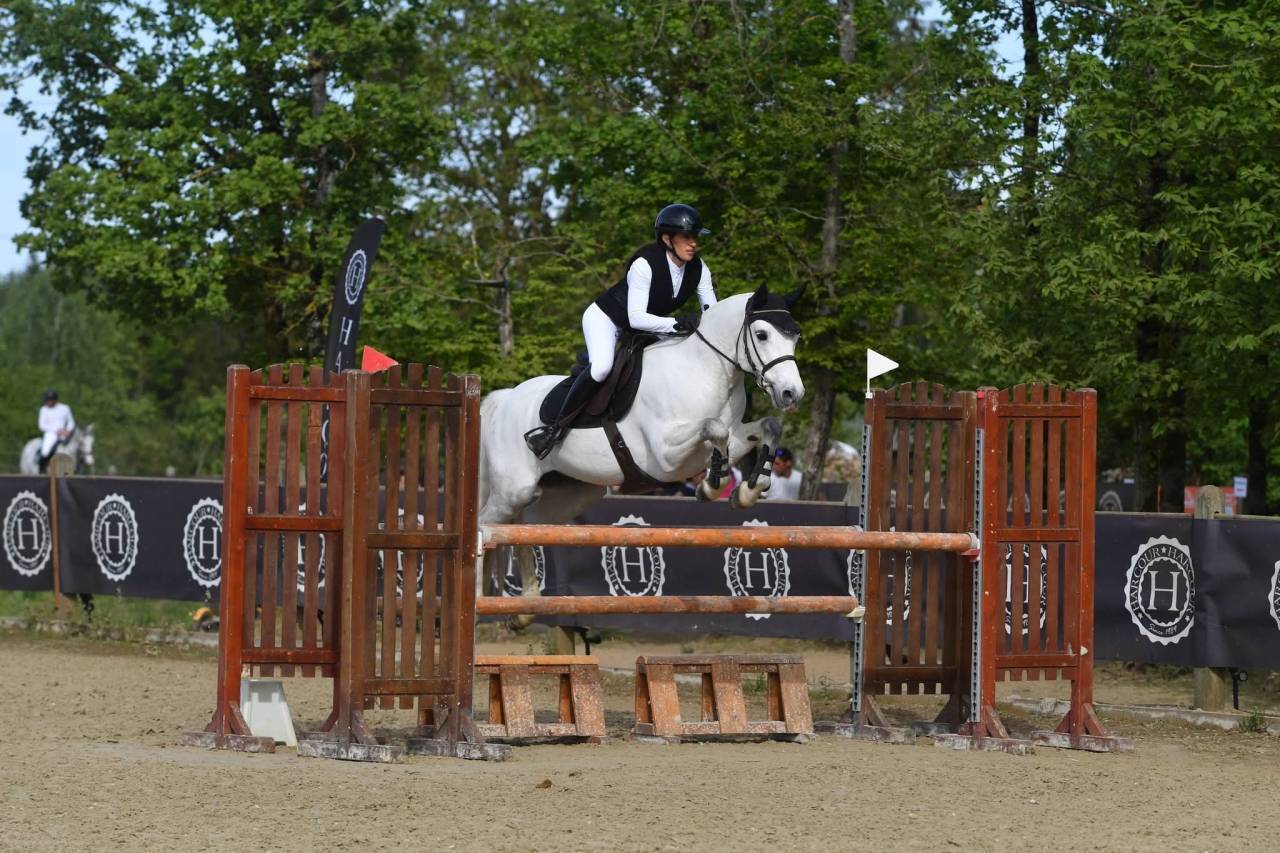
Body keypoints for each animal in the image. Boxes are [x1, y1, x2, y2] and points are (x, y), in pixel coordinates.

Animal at [478, 283, 805, 614]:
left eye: (795, 335)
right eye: (762, 334)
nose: (792, 394)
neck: (706, 372)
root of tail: (504, 399)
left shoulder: (725, 438)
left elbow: (764, 428)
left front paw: (746, 491)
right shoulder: (664, 457)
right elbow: (715, 428)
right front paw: (712, 486)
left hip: (574, 493)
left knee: (524, 525)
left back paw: (525, 608)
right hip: (514, 490)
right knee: (485, 525)